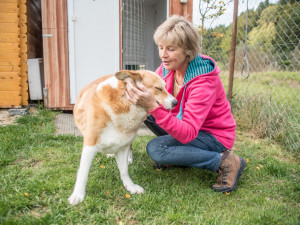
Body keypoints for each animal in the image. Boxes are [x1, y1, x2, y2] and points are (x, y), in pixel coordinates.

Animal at [68, 70, 178, 206]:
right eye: (158, 88)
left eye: (165, 87)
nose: (176, 102)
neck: (124, 103)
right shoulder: (90, 145)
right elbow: (83, 173)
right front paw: (78, 194)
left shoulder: (123, 147)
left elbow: (124, 171)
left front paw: (130, 187)